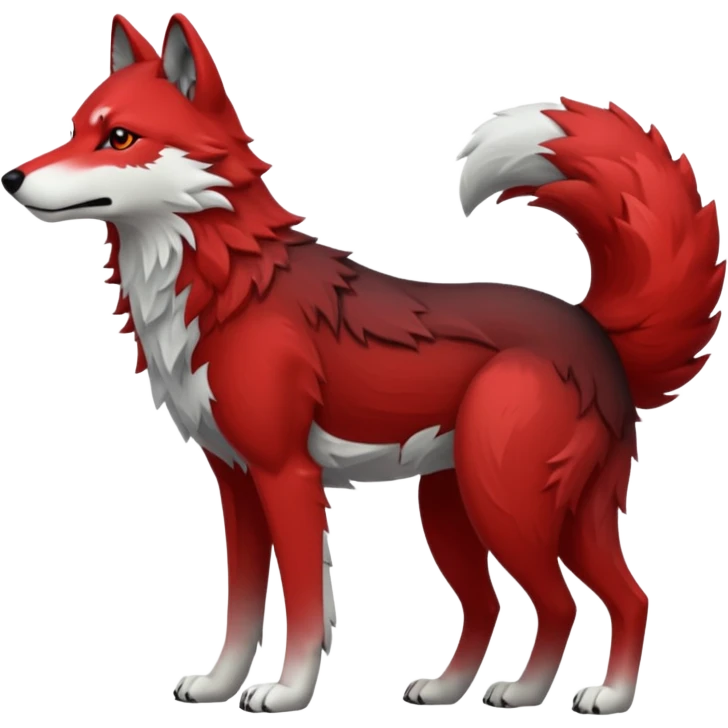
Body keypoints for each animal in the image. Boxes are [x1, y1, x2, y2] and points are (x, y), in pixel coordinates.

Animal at [2, 12, 723, 715]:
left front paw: (287, 693)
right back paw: (451, 691)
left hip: (509, 504)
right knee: (515, 603)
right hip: (464, 510)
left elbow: (304, 607)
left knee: (583, 601)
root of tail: (591, 324)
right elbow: (242, 608)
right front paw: (216, 687)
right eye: (74, 129)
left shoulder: (286, 476)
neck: (225, 287)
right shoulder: (235, 483)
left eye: (120, 138)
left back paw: (570, 695)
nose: (12, 178)